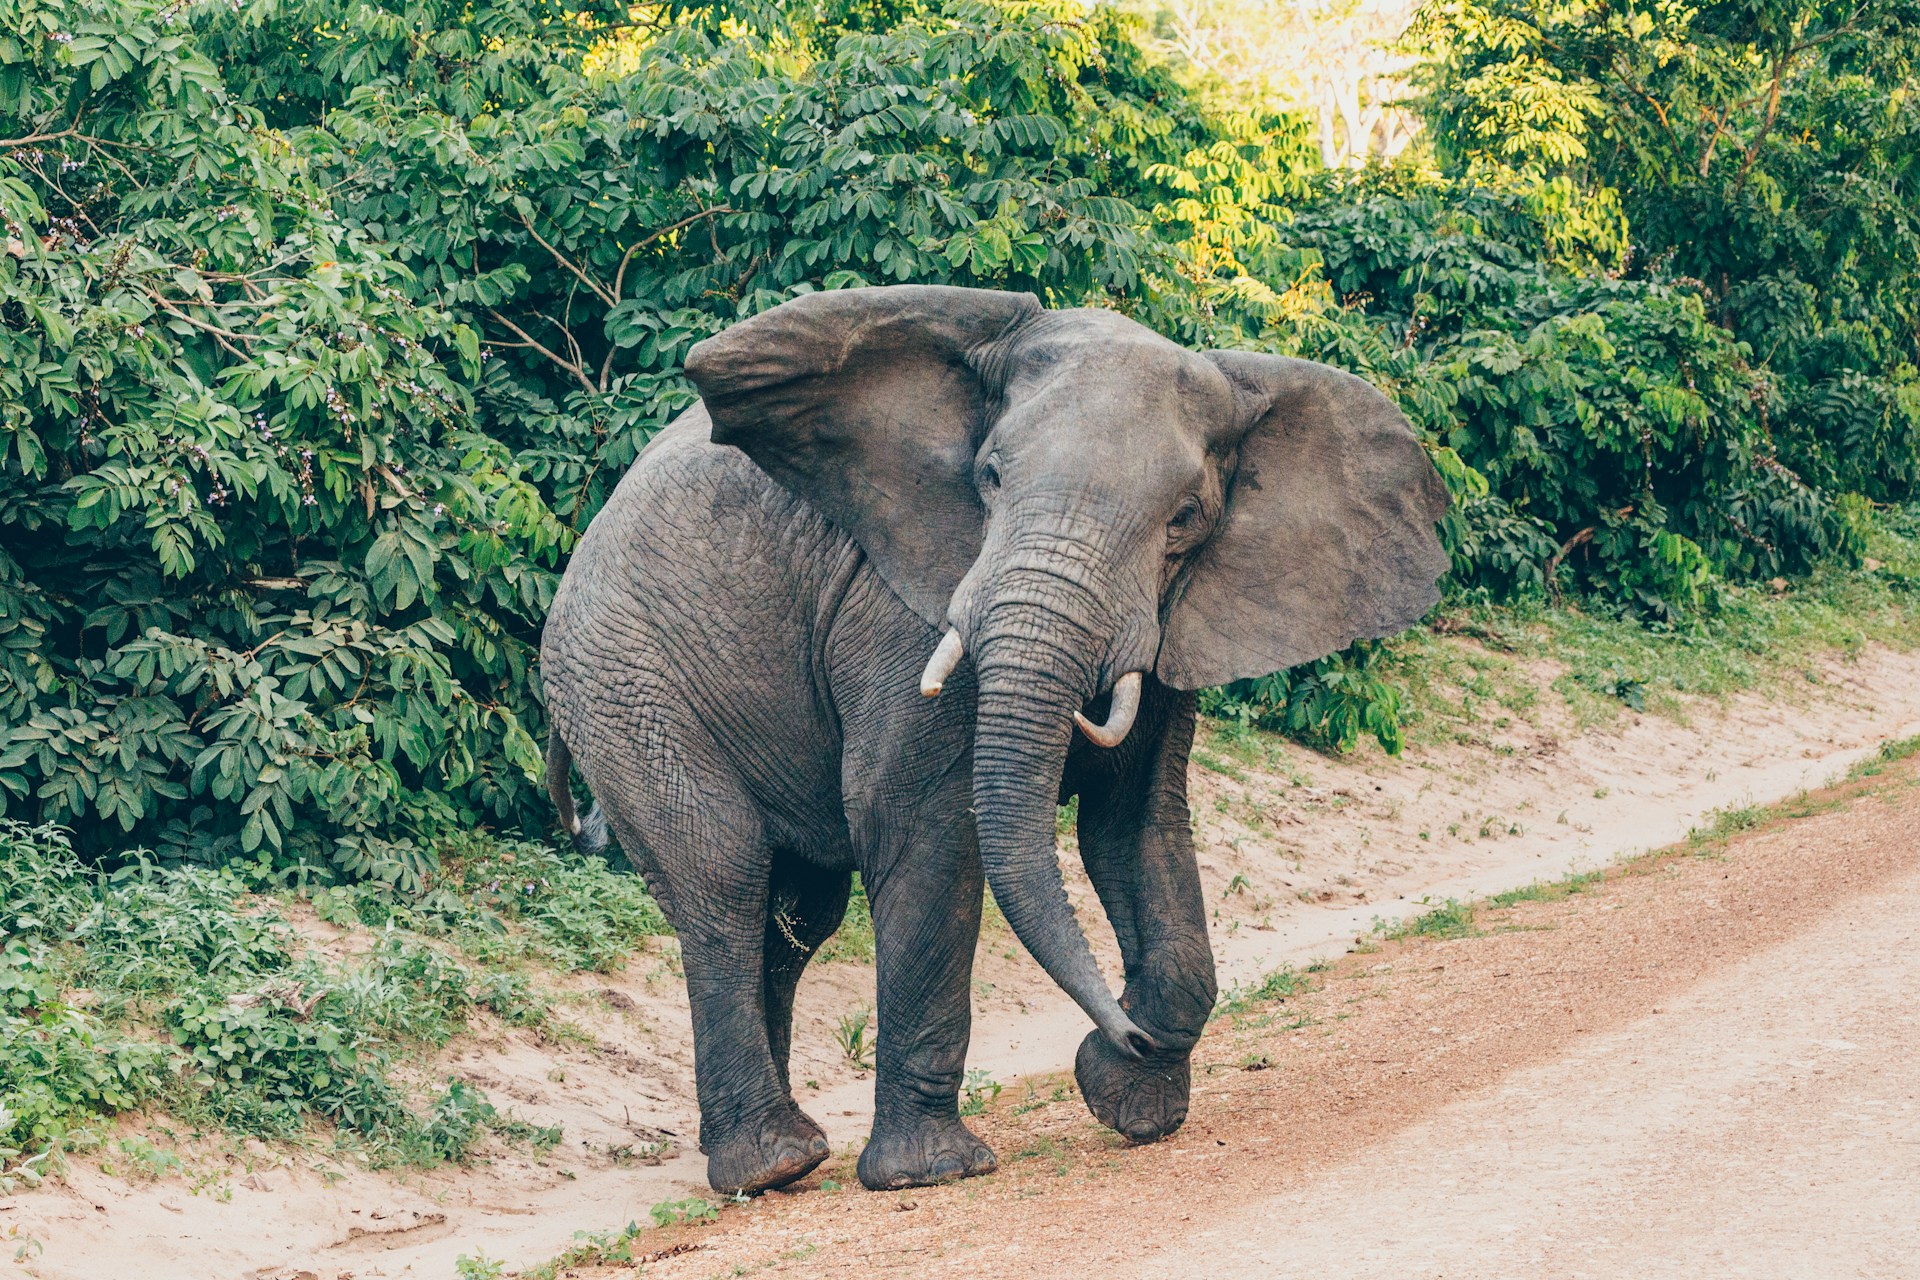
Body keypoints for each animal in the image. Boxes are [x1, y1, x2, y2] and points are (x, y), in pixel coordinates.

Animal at [537, 285, 1443, 1197]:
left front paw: (1129, 1102)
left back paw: (774, 1153)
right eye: (991, 478)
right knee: (724, 878)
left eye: (1185, 518)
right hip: (622, 679)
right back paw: (774, 1164)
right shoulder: (899, 608)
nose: (1126, 1034)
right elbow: (922, 828)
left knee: (796, 913)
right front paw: (932, 1173)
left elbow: (1134, 826)